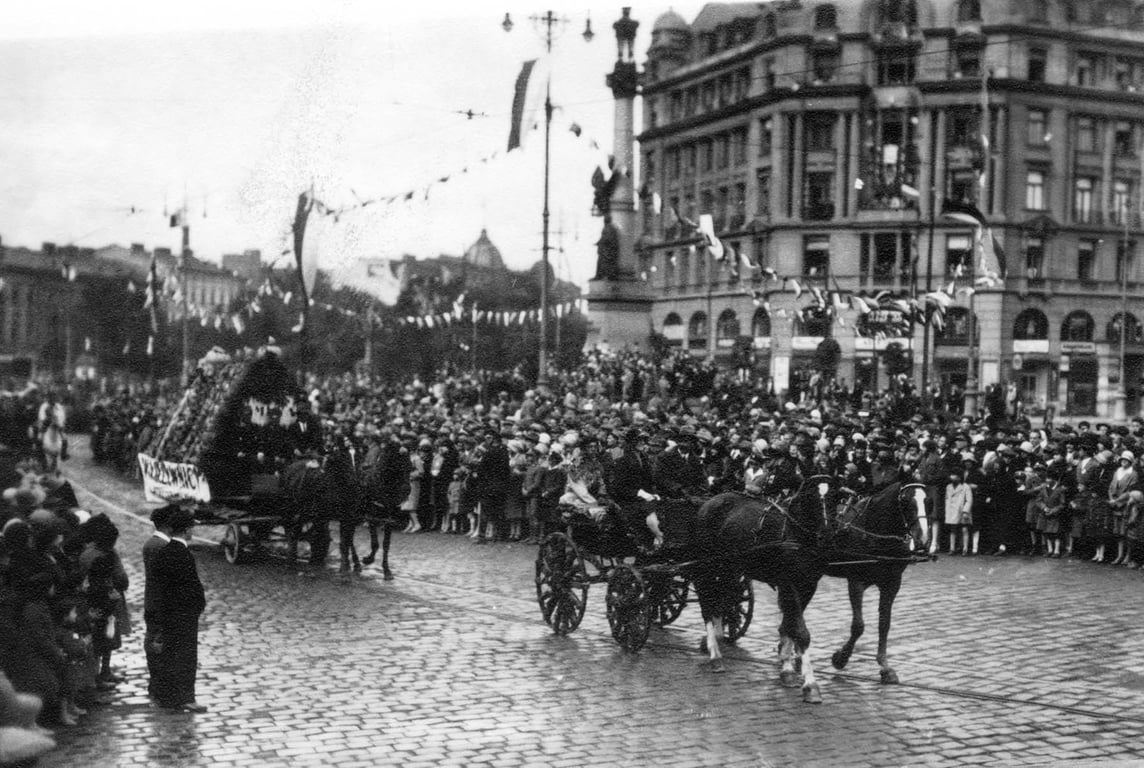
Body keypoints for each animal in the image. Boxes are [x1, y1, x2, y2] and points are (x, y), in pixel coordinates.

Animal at [686, 473, 841, 705]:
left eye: (833, 498)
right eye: (812, 498)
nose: (827, 536)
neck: (795, 534)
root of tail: (710, 501)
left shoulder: (808, 585)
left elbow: (789, 625)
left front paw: (786, 668)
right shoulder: (789, 583)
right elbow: (800, 631)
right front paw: (810, 685)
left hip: (730, 568)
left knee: (722, 601)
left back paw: (717, 639)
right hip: (707, 566)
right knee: (707, 605)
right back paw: (715, 655)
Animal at [828, 480, 933, 686]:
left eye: (928, 501)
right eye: (905, 501)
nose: (923, 540)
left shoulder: (891, 584)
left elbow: (884, 624)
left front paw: (885, 667)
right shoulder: (856, 582)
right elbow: (858, 626)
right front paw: (841, 657)